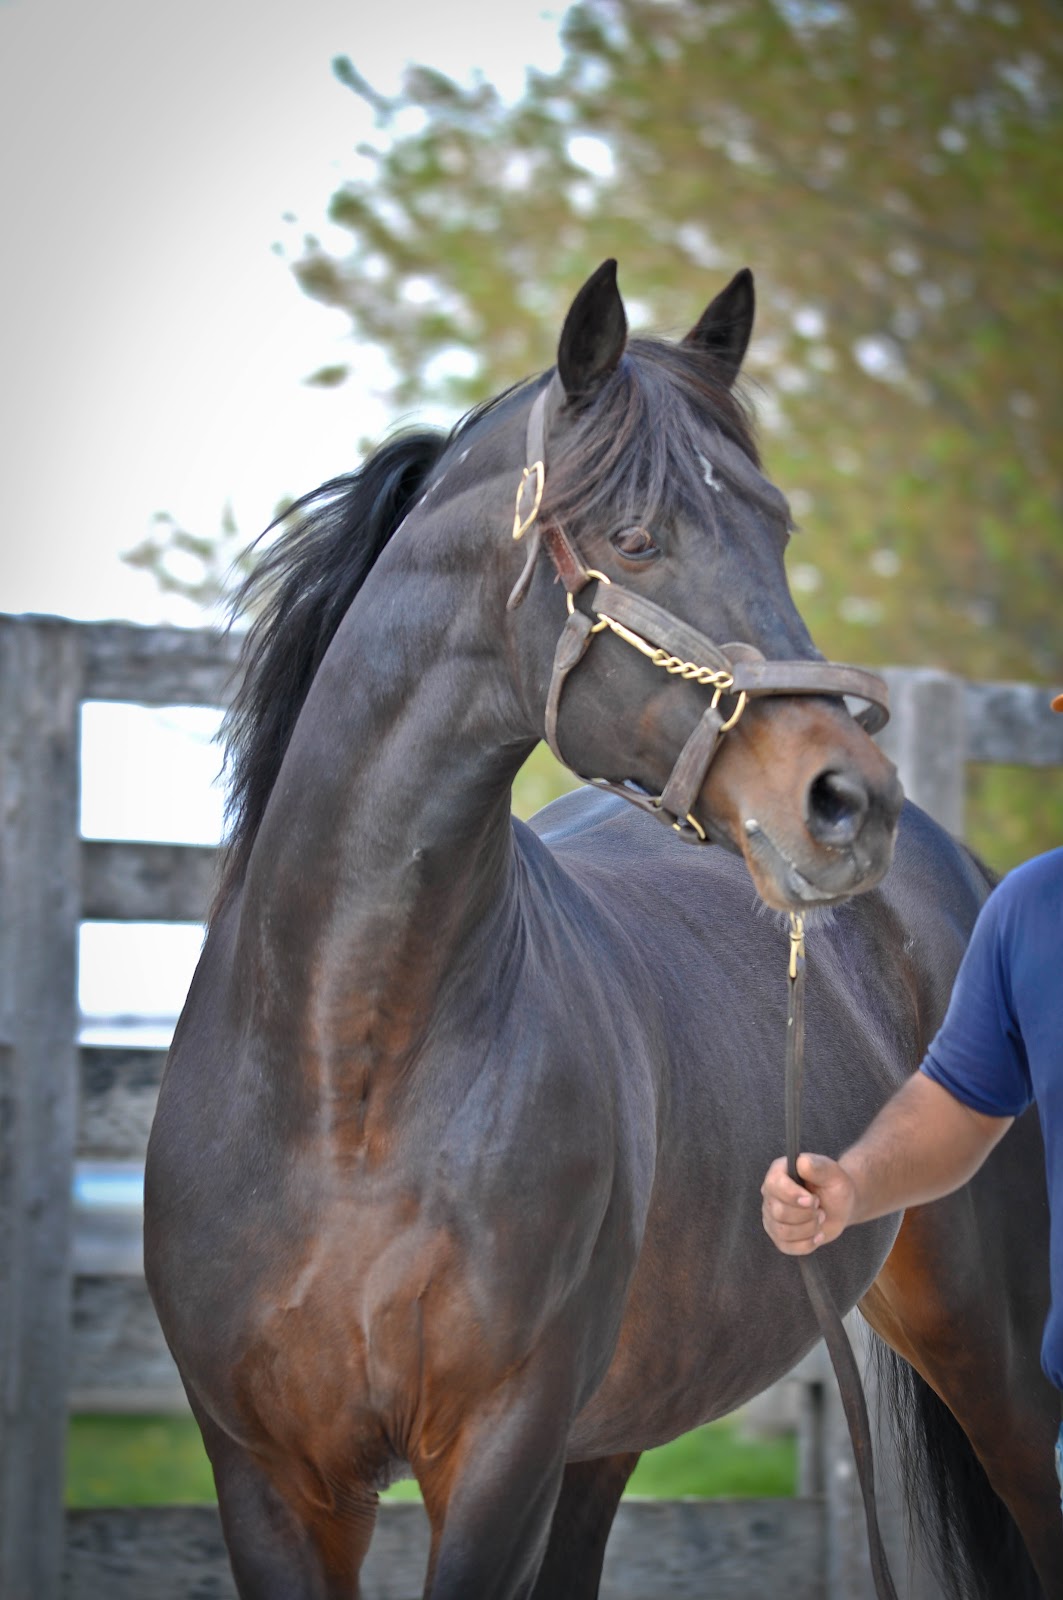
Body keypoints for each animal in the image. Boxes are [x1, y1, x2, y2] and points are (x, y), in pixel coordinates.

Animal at [144, 261, 1061, 1599]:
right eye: (636, 538)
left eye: (777, 528)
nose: (847, 804)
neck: (343, 1081)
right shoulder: (269, 1479)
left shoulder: (499, 1460)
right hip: (614, 1431)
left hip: (997, 1361)